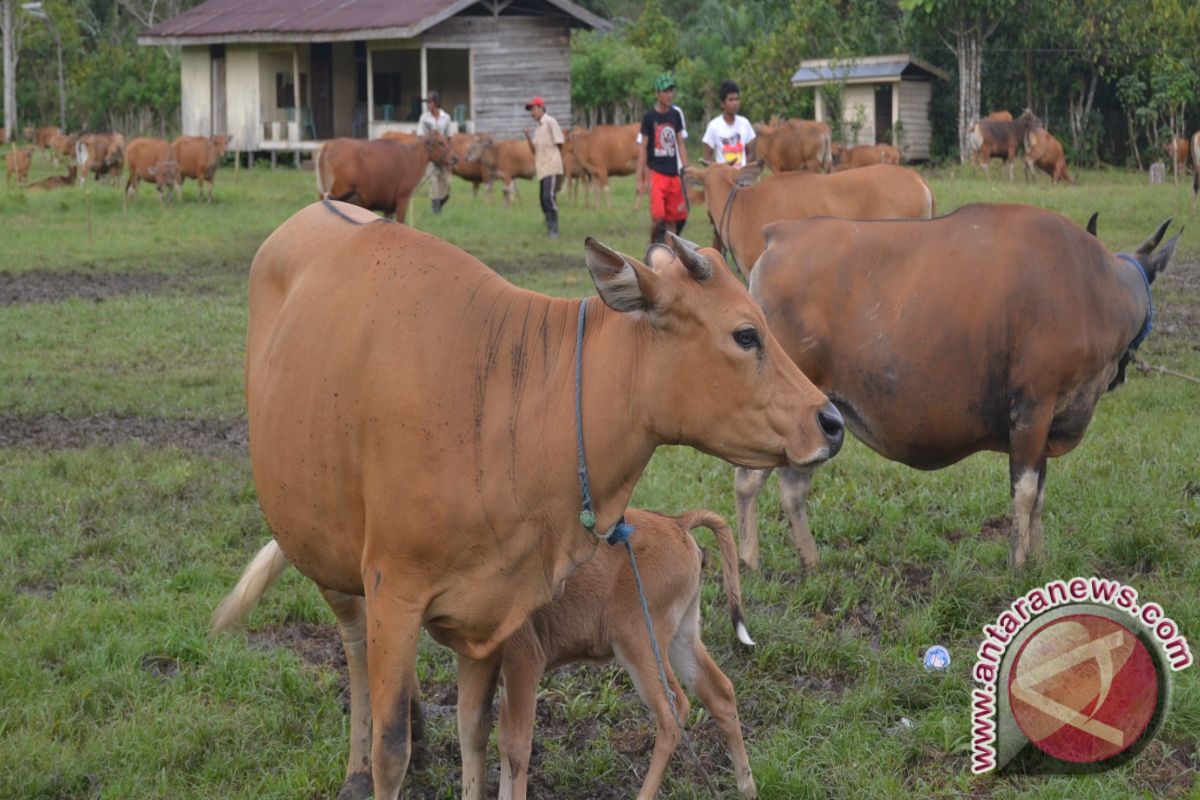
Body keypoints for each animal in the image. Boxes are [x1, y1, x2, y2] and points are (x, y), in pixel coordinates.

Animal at [213, 201, 844, 800]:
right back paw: (356, 768)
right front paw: (388, 758)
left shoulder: (490, 613)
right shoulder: (397, 589)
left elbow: (476, 732)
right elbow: (392, 749)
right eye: (746, 334)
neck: (510, 403)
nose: (832, 422)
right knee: (356, 648)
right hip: (326, 554)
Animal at [316, 134, 451, 220]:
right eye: (440, 142)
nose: (454, 158)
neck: (411, 157)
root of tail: (329, 144)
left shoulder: (388, 207)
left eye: (447, 141)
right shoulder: (403, 198)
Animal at [734, 205, 1176, 568]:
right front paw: (1018, 564)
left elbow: (1040, 496)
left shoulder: (1048, 421)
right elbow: (1025, 492)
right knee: (747, 479)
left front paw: (1040, 559)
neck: (1093, 287)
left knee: (792, 486)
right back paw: (749, 560)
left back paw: (810, 561)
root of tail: (779, 235)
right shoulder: (1033, 407)